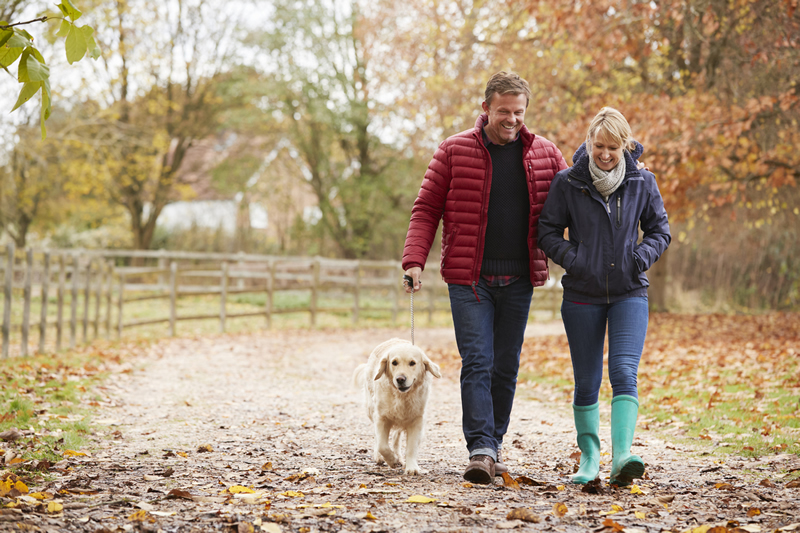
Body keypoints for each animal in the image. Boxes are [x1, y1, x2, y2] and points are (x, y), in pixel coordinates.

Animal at [356, 336, 444, 474]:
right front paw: (391, 460)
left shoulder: (416, 420)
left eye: (412, 363)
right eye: (394, 362)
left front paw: (411, 467)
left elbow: (411, 447)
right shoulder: (381, 417)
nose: (400, 379)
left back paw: (399, 456)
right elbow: (382, 445)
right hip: (371, 409)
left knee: (396, 437)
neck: (402, 396)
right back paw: (380, 457)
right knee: (378, 438)